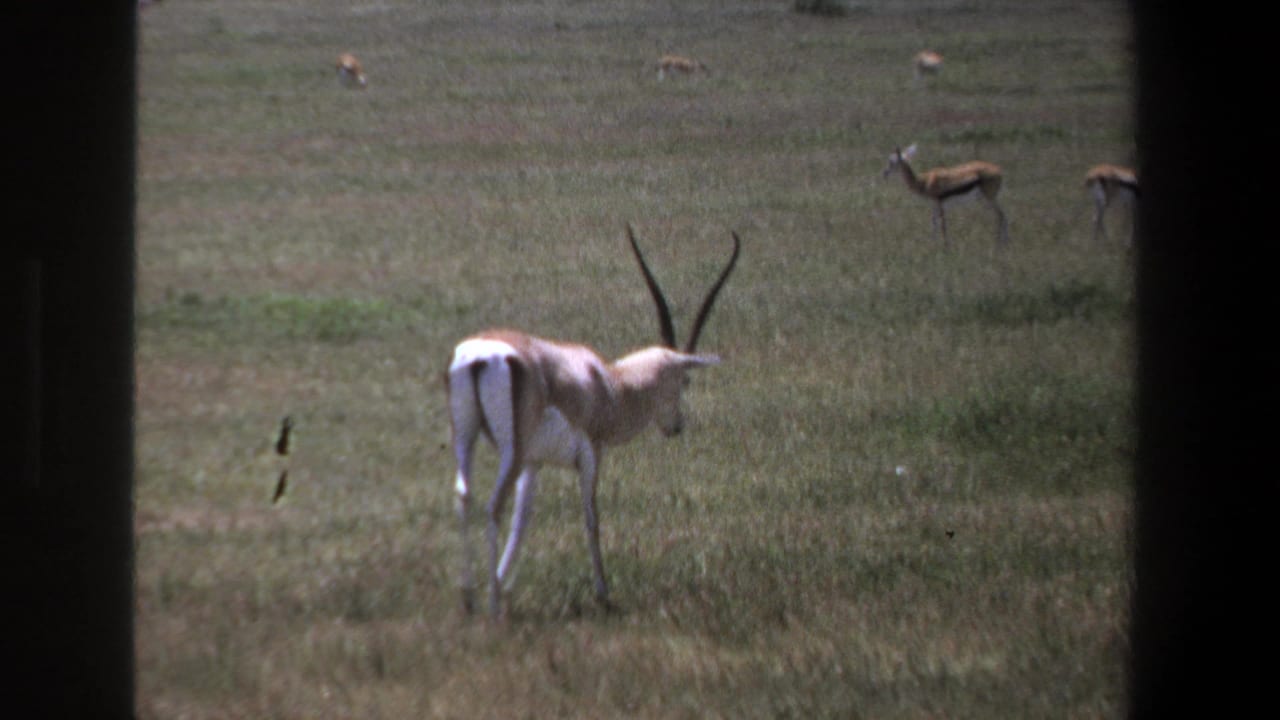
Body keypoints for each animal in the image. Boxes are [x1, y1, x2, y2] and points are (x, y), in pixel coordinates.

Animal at [447, 226, 740, 618]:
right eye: (685, 381)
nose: (676, 426)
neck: (608, 383)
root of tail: (481, 356)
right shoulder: (589, 454)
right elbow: (591, 517)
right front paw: (602, 592)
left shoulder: (534, 462)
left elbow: (522, 522)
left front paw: (503, 582)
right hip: (511, 451)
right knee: (493, 506)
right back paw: (491, 607)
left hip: (467, 438)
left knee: (463, 497)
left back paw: (469, 599)